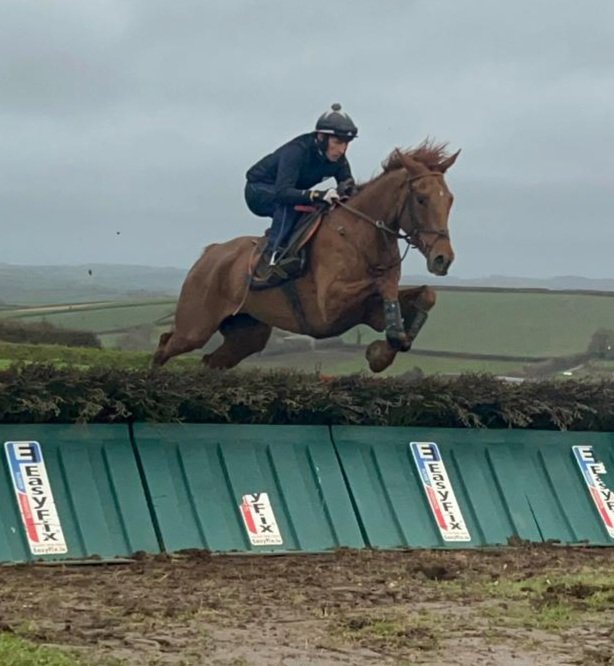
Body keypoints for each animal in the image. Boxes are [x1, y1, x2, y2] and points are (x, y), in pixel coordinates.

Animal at [154, 139, 462, 374]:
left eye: (449, 200)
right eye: (421, 199)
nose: (442, 259)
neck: (359, 233)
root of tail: (210, 253)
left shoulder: (365, 309)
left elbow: (426, 295)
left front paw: (385, 349)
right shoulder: (330, 306)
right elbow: (383, 285)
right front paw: (382, 351)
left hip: (247, 334)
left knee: (212, 360)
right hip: (195, 326)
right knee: (166, 344)